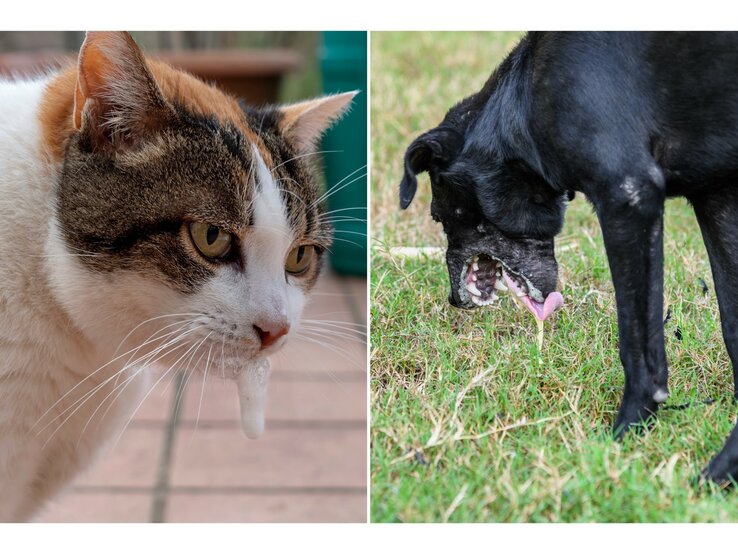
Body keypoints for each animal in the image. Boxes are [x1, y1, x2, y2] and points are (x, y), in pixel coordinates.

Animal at [400, 32, 738, 480]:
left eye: (439, 216)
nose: (454, 300)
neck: (522, 98)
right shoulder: (718, 198)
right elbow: (733, 326)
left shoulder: (628, 197)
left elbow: (637, 345)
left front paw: (625, 434)